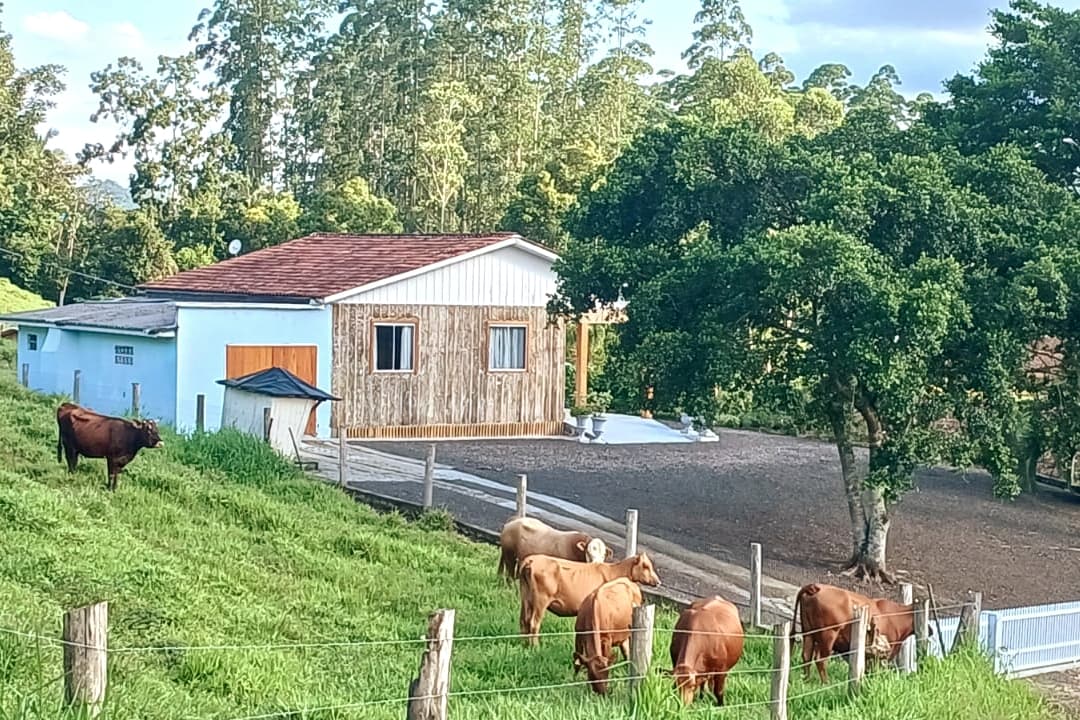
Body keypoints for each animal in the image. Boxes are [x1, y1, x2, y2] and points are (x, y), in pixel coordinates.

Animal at [518, 552, 660, 643]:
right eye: (646, 566)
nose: (658, 582)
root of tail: (531, 560)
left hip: (526, 597)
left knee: (524, 621)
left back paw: (524, 645)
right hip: (540, 600)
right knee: (534, 623)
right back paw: (535, 647)